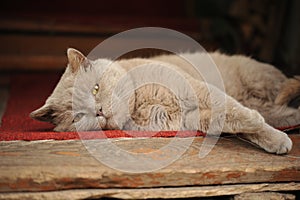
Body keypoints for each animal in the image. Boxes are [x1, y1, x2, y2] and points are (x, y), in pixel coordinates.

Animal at [30, 48, 300, 155]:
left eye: (95, 89)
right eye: (78, 116)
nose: (98, 110)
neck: (141, 103)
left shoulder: (198, 90)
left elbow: (236, 111)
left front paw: (272, 135)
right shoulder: (185, 118)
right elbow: (230, 121)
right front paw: (273, 137)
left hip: (260, 80)